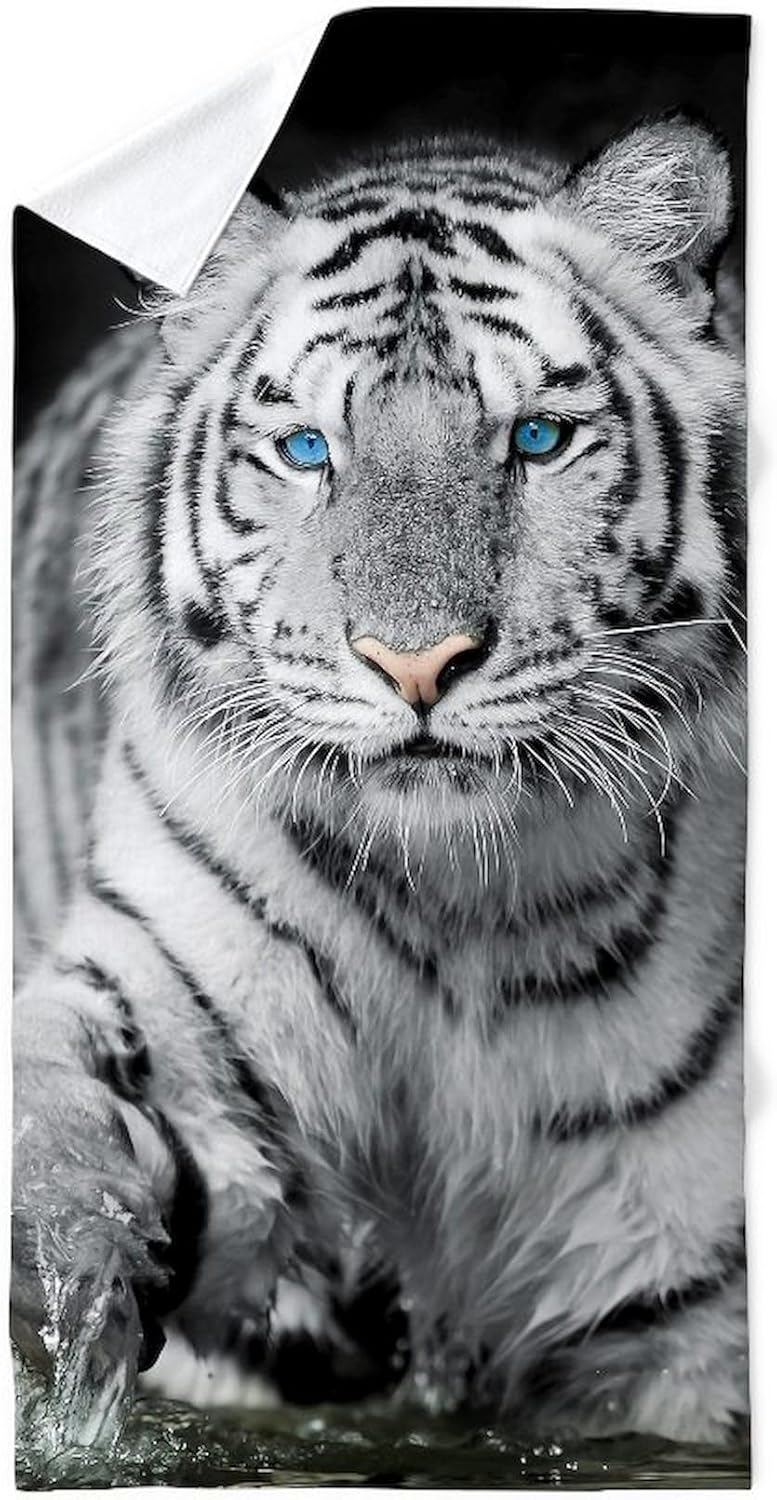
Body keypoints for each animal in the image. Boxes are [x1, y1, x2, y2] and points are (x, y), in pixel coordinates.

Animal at [12, 116, 747, 1448]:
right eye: (309, 451)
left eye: (536, 440)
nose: (416, 665)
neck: (459, 905)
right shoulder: (173, 987)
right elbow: (54, 1091)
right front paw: (64, 1268)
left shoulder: (685, 1311)